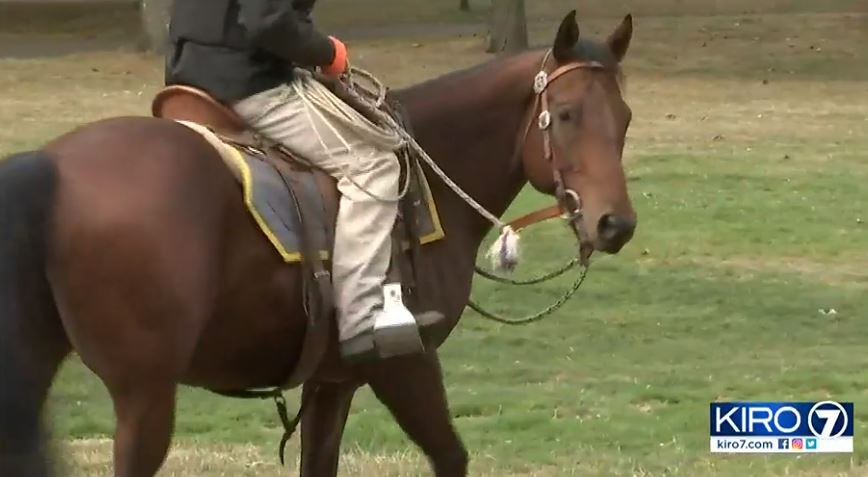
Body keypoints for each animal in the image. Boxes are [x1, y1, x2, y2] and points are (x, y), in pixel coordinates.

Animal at [0, 11, 636, 476]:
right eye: (567, 114)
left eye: (625, 118)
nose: (616, 225)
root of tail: (51, 166)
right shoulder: (404, 362)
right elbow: (450, 456)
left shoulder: (332, 382)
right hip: (146, 394)